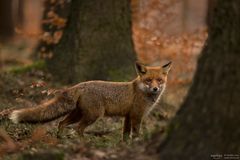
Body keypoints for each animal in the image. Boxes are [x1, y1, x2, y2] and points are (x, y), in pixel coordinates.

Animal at [8, 62, 171, 141]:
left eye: (159, 80)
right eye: (148, 80)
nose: (155, 88)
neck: (142, 91)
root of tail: (80, 84)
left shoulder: (128, 116)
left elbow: (125, 134)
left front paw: (125, 145)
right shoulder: (136, 116)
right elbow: (136, 134)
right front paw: (135, 144)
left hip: (78, 114)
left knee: (62, 123)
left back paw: (61, 139)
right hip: (93, 116)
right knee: (78, 128)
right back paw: (83, 142)